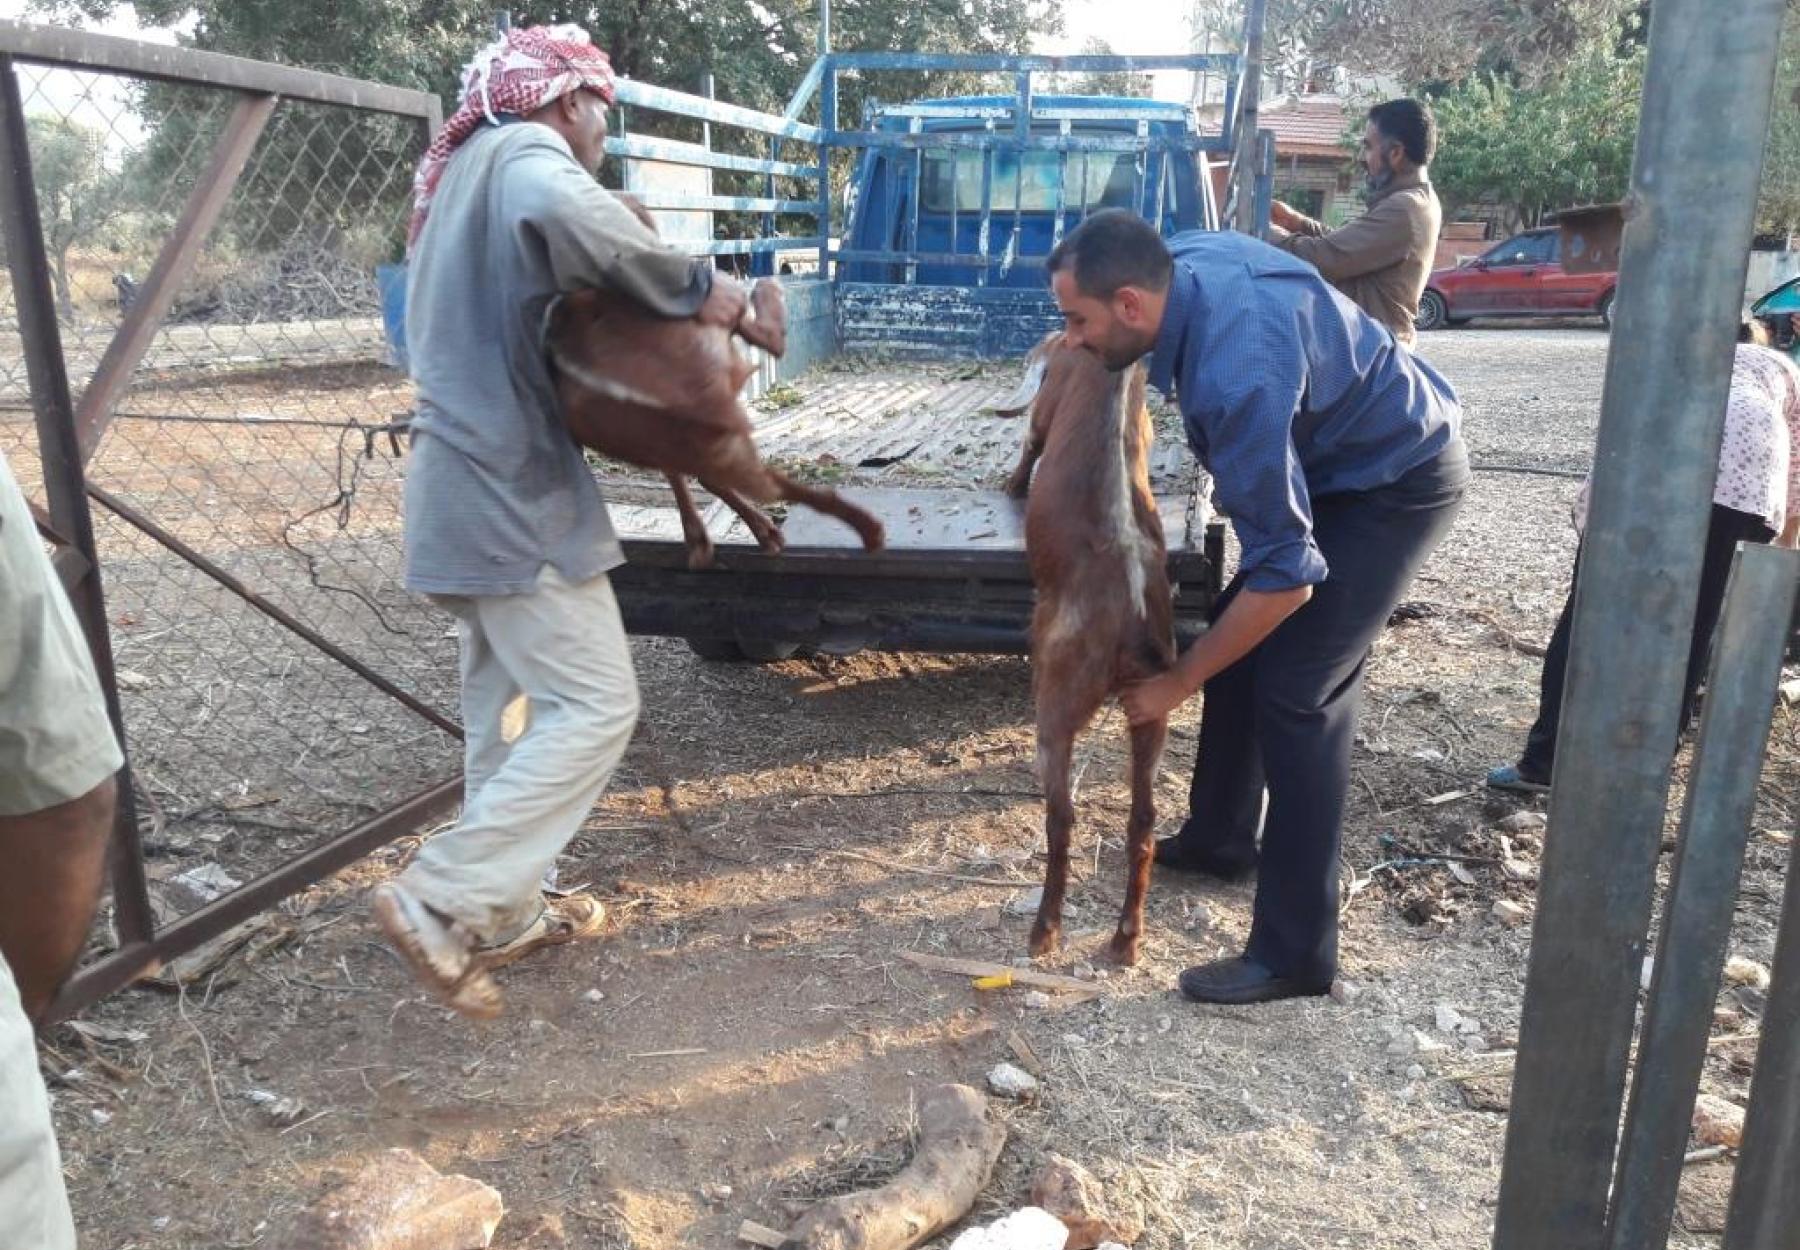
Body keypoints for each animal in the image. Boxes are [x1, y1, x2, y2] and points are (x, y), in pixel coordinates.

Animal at [993, 335, 1173, 972]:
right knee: (1143, 820)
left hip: (1057, 703)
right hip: (1151, 712)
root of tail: (1130, 618)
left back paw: (1044, 931)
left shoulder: (1047, 402)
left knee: (1062, 818)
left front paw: (1012, 485)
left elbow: (1030, 438)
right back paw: (1126, 939)